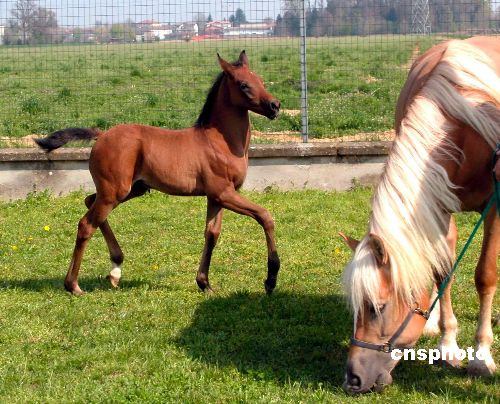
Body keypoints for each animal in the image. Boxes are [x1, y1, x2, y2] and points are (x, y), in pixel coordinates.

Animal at [36, 50, 282, 296]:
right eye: (243, 84)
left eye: (260, 80)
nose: (275, 105)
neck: (218, 141)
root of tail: (102, 134)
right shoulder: (223, 193)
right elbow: (265, 216)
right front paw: (270, 280)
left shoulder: (216, 197)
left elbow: (212, 234)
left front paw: (204, 283)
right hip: (115, 192)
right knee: (86, 224)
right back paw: (74, 285)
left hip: (131, 189)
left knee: (89, 202)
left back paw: (115, 269)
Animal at [342, 36, 498, 392]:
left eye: (377, 307)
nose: (352, 378)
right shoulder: (434, 206)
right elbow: (442, 270)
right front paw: (447, 345)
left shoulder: (496, 207)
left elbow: (485, 275)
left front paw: (481, 357)